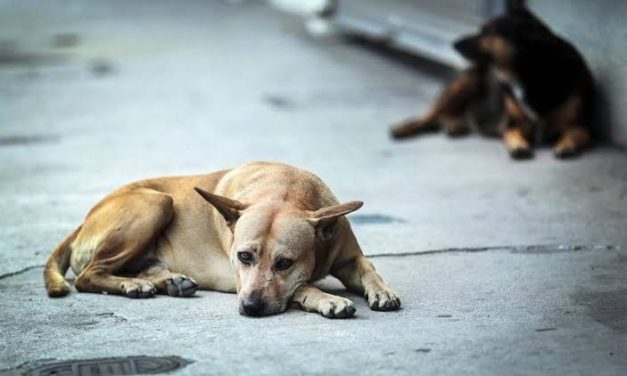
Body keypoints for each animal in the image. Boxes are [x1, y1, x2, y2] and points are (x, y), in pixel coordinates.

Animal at [44, 161, 400, 318]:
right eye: (243, 256)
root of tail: (83, 221)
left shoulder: (349, 256)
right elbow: (303, 286)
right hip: (156, 203)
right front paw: (326, 298)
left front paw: (382, 291)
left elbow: (369, 268)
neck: (285, 191)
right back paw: (134, 285)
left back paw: (167, 281)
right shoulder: (242, 279)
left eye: (285, 263)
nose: (250, 307)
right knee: (88, 275)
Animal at [390, 0, 596, 159]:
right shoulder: (512, 124)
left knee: (443, 116)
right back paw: (402, 128)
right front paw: (518, 146)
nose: (453, 43)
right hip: (467, 81)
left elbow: (577, 133)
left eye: (487, 32)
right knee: (429, 115)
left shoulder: (580, 126)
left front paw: (566, 144)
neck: (533, 74)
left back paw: (454, 125)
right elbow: (512, 132)